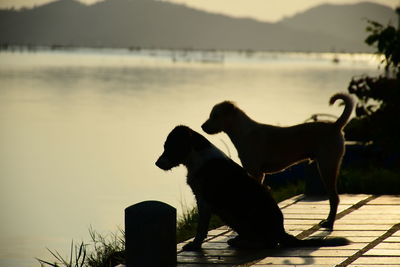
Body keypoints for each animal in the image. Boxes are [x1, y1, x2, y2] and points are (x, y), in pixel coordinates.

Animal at [155, 125, 348, 251]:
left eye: (169, 146)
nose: (156, 163)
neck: (197, 156)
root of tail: (281, 231)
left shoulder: (204, 201)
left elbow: (201, 228)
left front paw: (194, 245)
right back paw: (240, 240)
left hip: (243, 213)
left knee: (269, 243)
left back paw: (246, 243)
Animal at [203, 93, 354, 229]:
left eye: (215, 115)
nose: (202, 127)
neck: (244, 132)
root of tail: (334, 126)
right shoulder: (259, 174)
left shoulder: (255, 173)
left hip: (327, 166)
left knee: (334, 198)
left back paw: (329, 223)